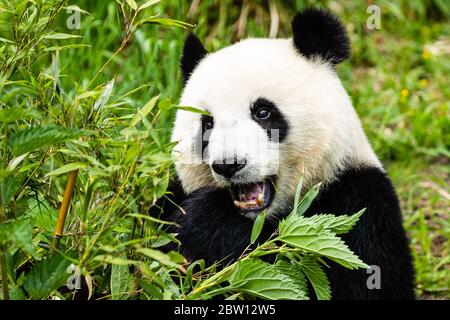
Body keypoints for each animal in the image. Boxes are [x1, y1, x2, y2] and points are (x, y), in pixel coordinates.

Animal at [154, 8, 414, 300]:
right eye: (207, 123)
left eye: (263, 112)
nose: (228, 165)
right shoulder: (171, 194)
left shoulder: (361, 201)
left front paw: (205, 221)